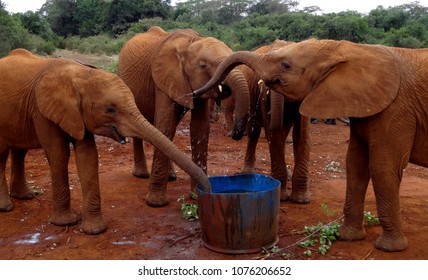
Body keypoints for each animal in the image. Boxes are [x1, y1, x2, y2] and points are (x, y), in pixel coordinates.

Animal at [0, 47, 209, 234]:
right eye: (110, 109)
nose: (202, 194)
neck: (80, 76)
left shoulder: (78, 115)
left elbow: (88, 156)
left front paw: (95, 230)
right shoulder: (42, 111)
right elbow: (58, 154)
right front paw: (65, 223)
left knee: (19, 151)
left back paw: (24, 197)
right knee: (3, 154)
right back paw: (6, 207)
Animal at [118, 26, 249, 207]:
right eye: (203, 65)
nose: (235, 135)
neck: (190, 43)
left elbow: (199, 127)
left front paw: (196, 196)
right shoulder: (163, 79)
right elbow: (165, 126)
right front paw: (156, 203)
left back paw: (171, 176)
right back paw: (141, 174)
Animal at [224, 40, 310, 203]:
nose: (234, 135)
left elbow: (302, 133)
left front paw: (301, 200)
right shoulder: (263, 93)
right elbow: (274, 134)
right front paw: (283, 198)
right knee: (255, 131)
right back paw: (247, 172)